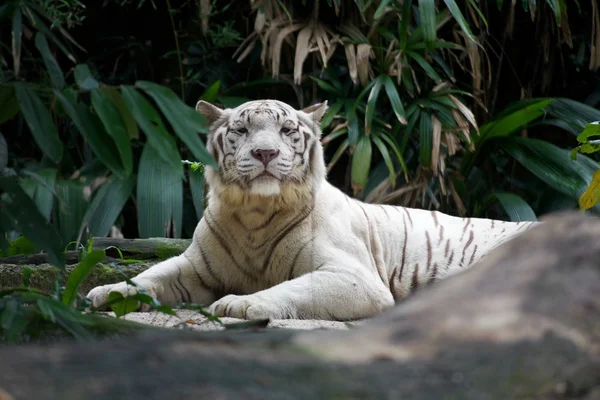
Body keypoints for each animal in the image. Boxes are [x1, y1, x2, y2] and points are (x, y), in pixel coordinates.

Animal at [88, 100, 540, 322]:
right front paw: (107, 292)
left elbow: (292, 288)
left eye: (287, 130)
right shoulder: (195, 267)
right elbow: (151, 273)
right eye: (242, 130)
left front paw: (240, 305)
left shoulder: (354, 277)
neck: (254, 214)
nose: (265, 152)